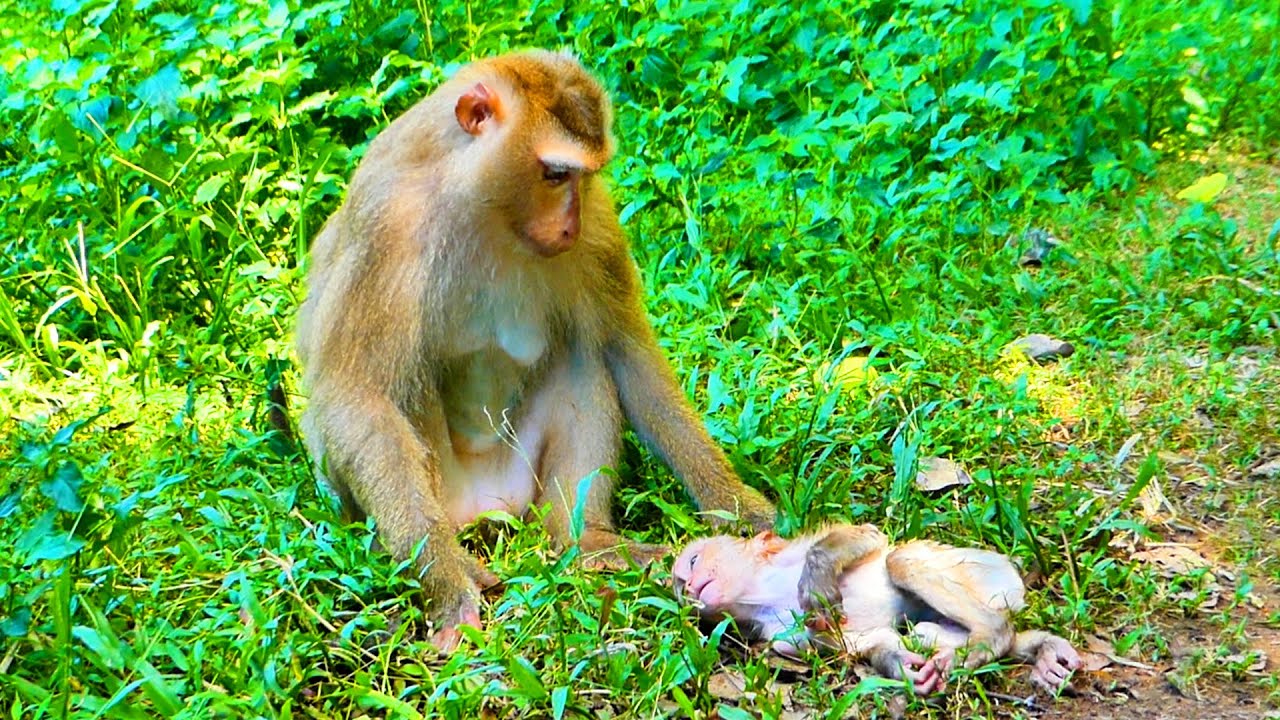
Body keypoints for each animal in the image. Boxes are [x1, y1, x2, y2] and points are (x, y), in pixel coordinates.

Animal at [294, 49, 775, 649]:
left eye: (584, 178)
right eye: (553, 174)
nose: (568, 226)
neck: (484, 206)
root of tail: (486, 509)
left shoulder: (598, 226)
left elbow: (626, 353)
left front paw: (738, 508)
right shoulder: (387, 226)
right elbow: (358, 396)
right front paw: (446, 581)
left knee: (584, 363)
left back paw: (585, 543)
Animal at [671, 525, 1081, 694]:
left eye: (692, 561)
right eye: (678, 584)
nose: (687, 587)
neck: (764, 592)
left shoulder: (792, 553)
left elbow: (867, 536)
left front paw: (817, 580)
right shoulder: (779, 634)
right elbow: (862, 642)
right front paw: (902, 668)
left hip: (989, 575)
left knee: (900, 559)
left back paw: (991, 636)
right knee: (920, 631)